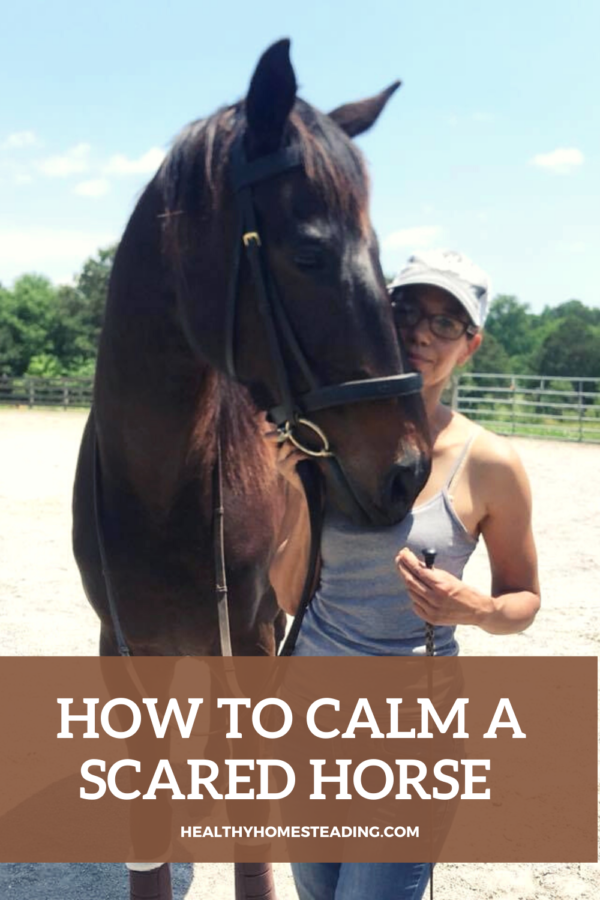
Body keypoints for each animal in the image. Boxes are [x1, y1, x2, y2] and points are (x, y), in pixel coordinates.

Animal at [72, 39, 431, 900]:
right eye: (309, 252)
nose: (408, 469)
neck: (156, 486)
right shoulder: (125, 654)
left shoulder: (252, 636)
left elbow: (254, 854)